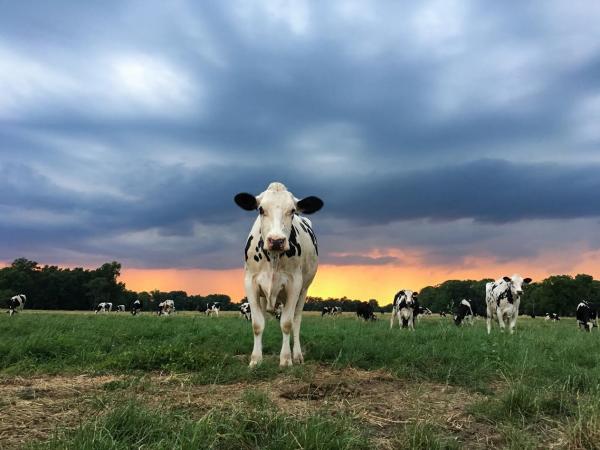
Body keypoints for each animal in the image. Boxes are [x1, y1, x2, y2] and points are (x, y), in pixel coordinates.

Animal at [234, 181, 324, 368]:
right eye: (261, 209)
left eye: (292, 210)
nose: (276, 240)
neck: (273, 258)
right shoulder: (251, 283)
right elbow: (257, 324)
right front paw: (256, 359)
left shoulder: (294, 284)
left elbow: (287, 324)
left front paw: (286, 359)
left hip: (304, 290)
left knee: (297, 320)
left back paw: (297, 355)